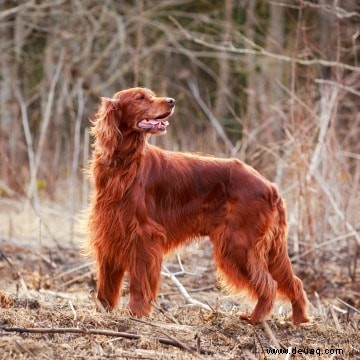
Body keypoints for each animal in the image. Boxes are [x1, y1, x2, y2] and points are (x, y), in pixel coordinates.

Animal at [86, 87, 308, 324]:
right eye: (140, 98)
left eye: (150, 95)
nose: (171, 101)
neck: (124, 164)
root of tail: (270, 186)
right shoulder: (109, 233)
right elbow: (106, 286)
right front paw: (104, 312)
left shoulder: (143, 237)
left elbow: (138, 283)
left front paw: (136, 314)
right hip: (267, 248)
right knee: (294, 282)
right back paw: (300, 319)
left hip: (239, 244)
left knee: (269, 284)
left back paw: (255, 318)